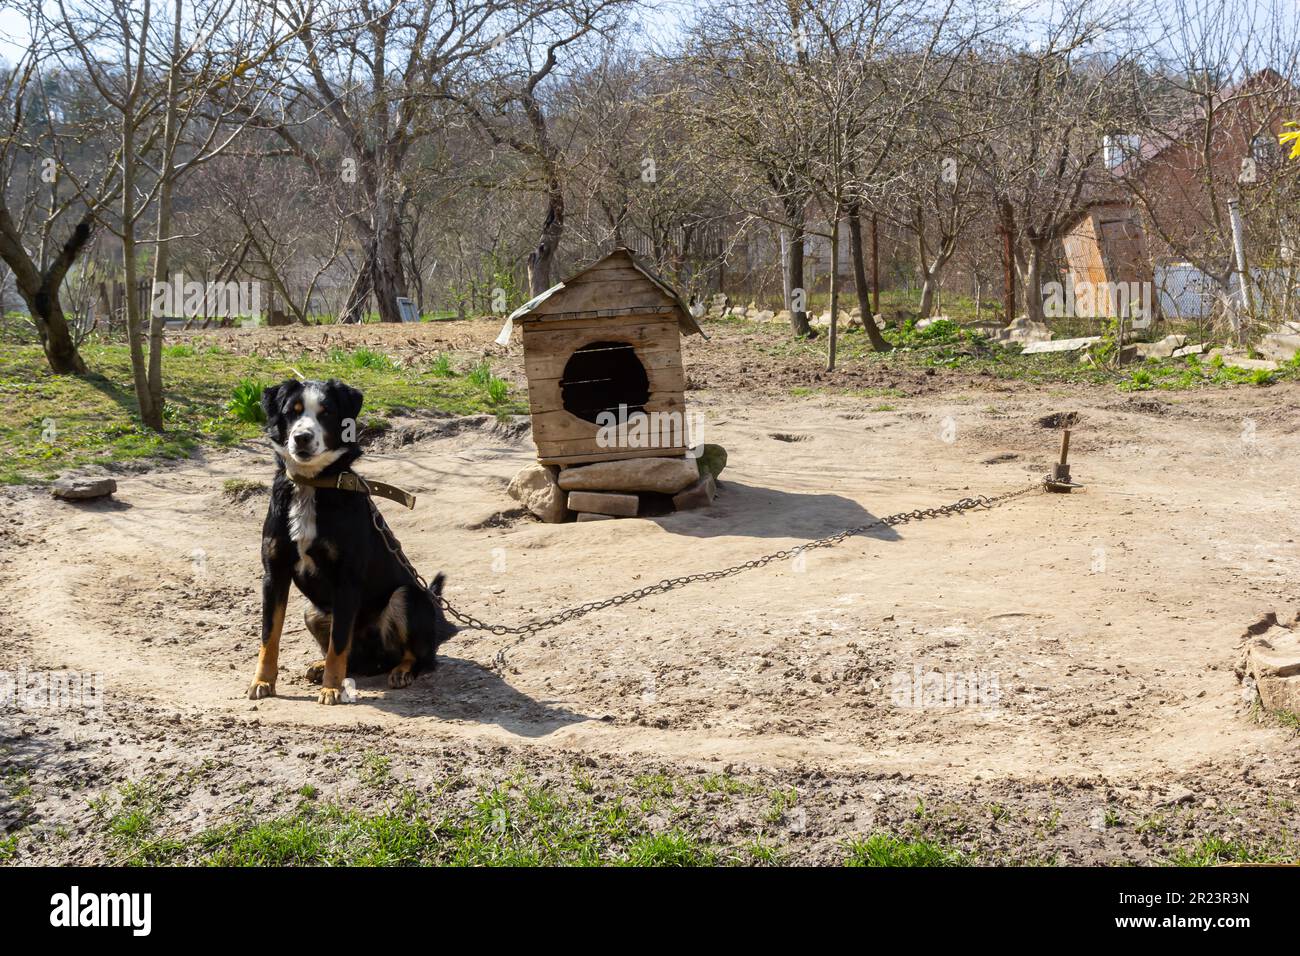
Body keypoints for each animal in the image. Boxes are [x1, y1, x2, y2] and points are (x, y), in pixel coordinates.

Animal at [246, 379, 452, 702]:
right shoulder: (274, 573)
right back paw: (322, 667)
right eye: (292, 411)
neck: (312, 485)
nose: (301, 438)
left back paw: (402, 670)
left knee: (420, 656)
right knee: (353, 658)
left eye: (326, 413)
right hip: (312, 611)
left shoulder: (346, 579)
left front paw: (332, 688)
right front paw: (263, 681)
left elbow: (339, 643)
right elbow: (270, 636)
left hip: (406, 596)